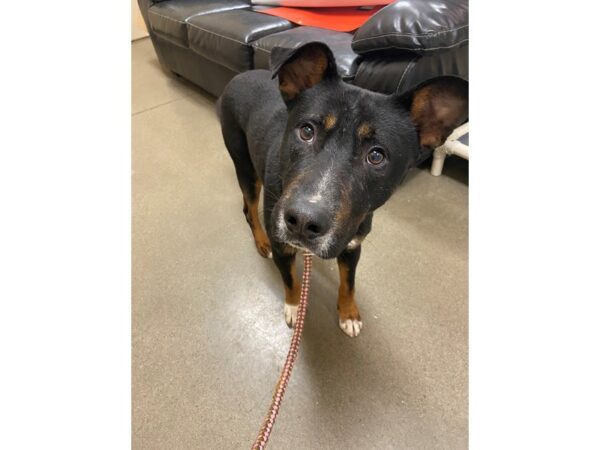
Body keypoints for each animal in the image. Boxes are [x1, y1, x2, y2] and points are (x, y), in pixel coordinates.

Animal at [218, 43, 466, 338]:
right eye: (306, 131)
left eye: (376, 156)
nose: (303, 221)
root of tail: (240, 76)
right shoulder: (283, 246)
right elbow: (290, 279)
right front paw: (294, 307)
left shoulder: (352, 245)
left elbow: (349, 282)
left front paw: (348, 314)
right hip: (245, 166)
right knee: (249, 208)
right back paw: (261, 241)